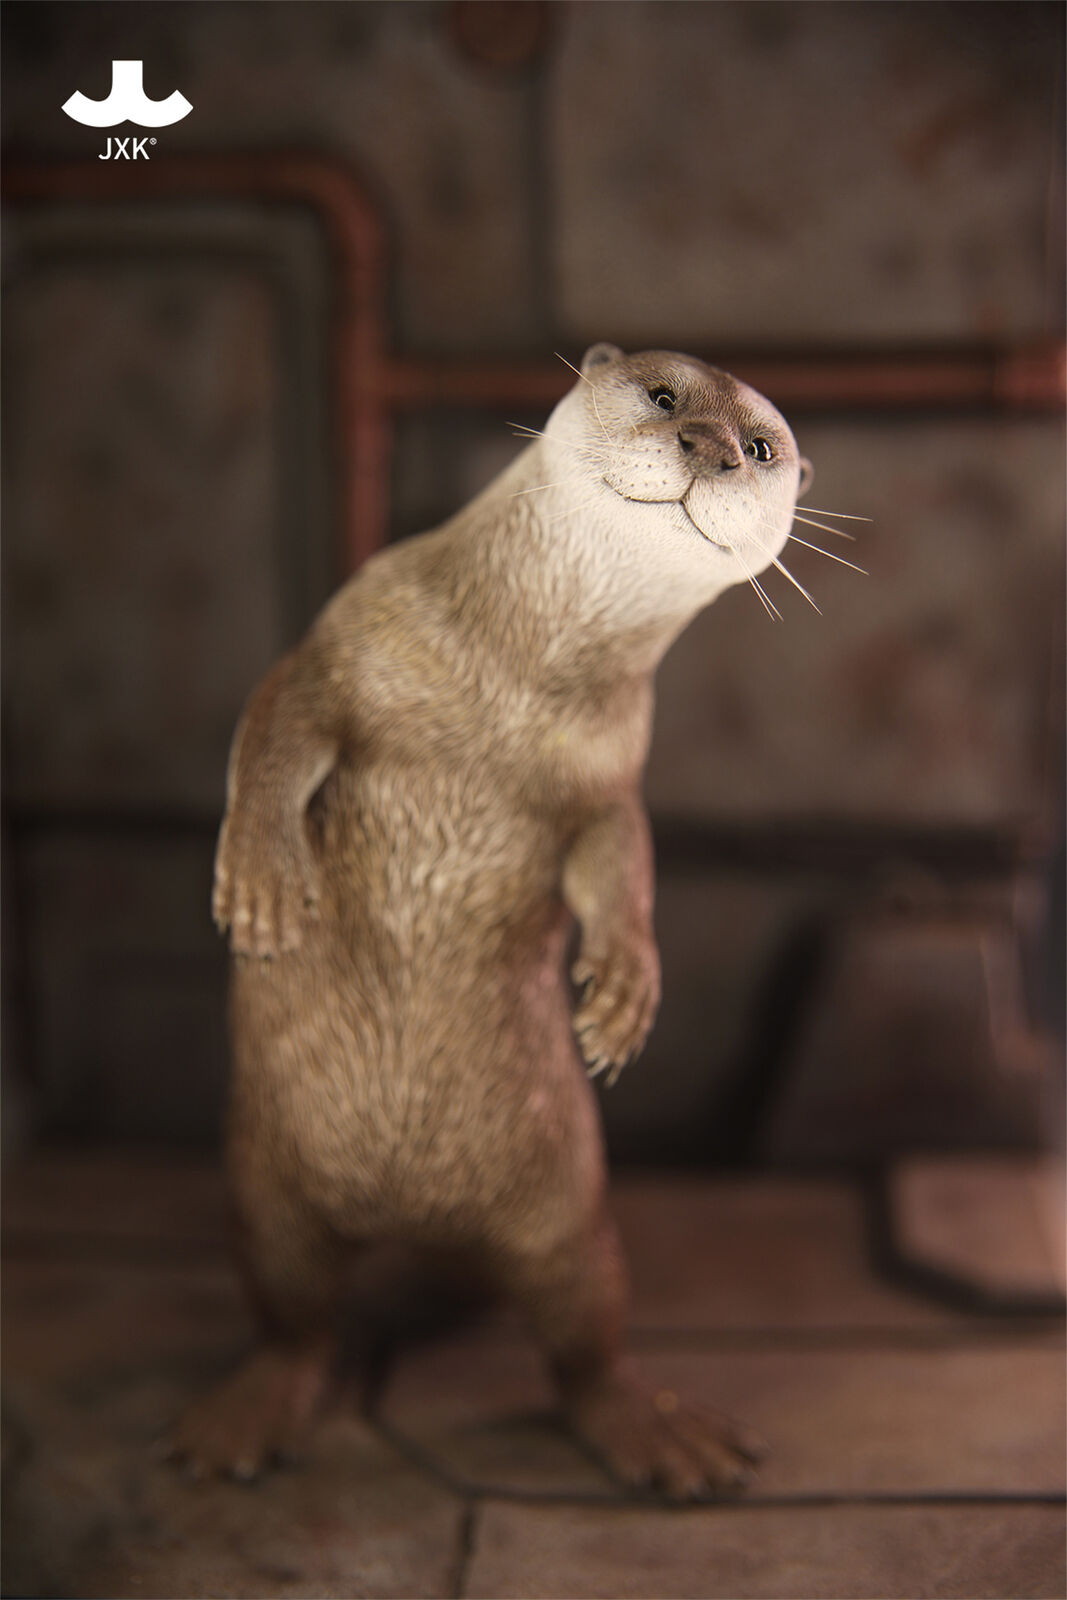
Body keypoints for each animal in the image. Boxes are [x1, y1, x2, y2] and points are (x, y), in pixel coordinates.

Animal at [167, 344, 813, 1496]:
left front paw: (624, 992)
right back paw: (239, 1419)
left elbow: (622, 861)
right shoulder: (341, 642)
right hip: (261, 1191)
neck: (508, 687)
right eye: (663, 394)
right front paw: (261, 884)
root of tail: (410, 1217)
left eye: (761, 445)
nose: (708, 445)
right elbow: (276, 726)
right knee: (294, 1319)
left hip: (570, 1213)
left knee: (583, 1338)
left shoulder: (610, 776)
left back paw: (655, 1431)